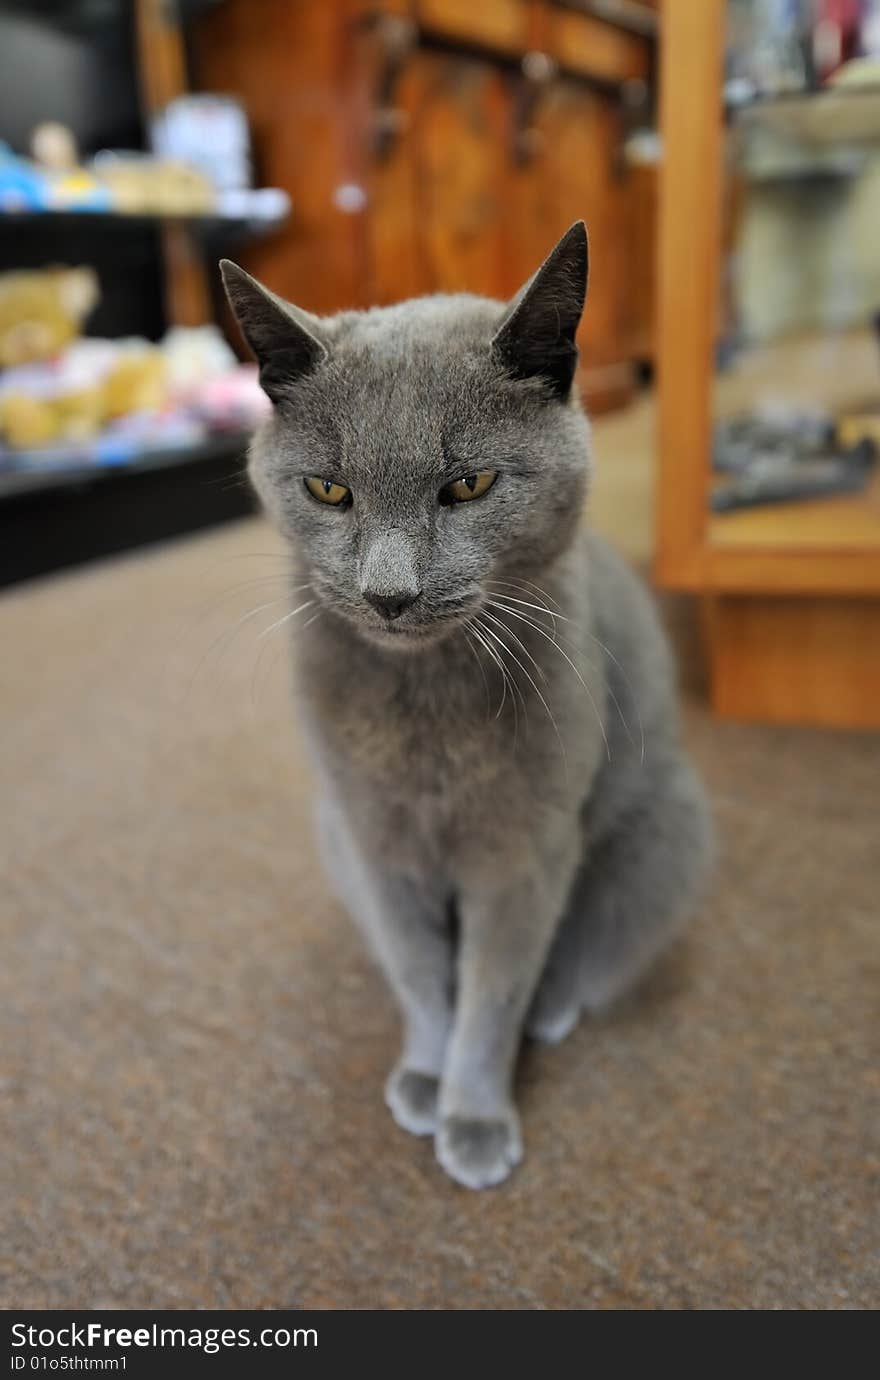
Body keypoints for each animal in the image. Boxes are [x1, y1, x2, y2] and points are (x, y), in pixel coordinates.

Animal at [222, 223, 717, 1186]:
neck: (426, 718)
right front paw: (426, 1072)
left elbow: (493, 988)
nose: (388, 594)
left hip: (659, 835)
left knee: (580, 957)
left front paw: (475, 1115)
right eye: (329, 490)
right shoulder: (375, 840)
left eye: (468, 486)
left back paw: (549, 1014)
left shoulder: (523, 851)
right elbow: (421, 973)